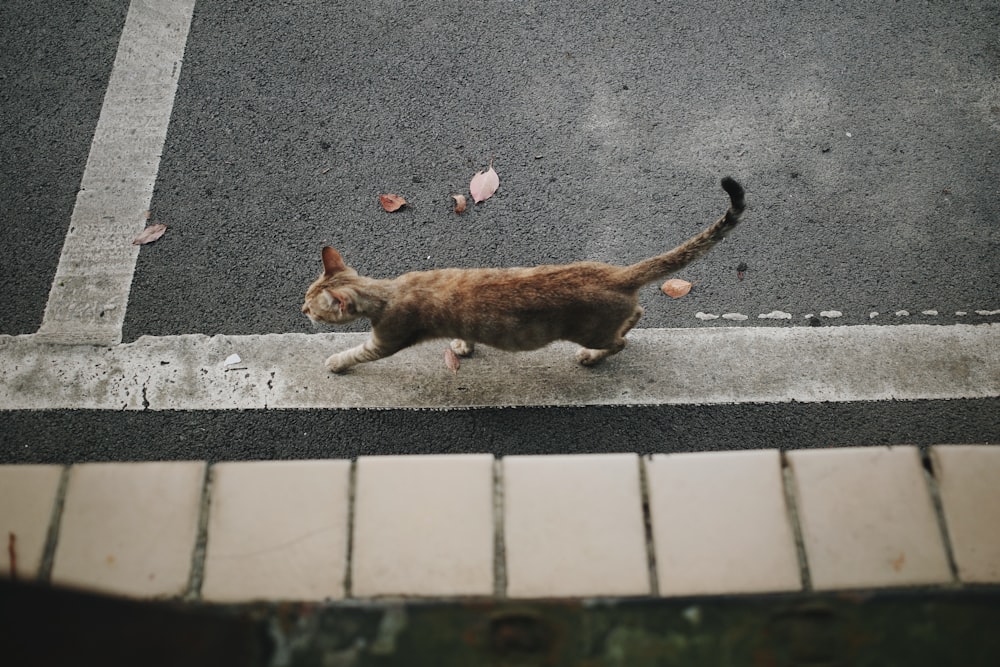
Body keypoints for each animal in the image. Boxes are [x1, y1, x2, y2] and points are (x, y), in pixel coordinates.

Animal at [302, 177, 744, 374]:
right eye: (306, 296)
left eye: (312, 307)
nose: (300, 309)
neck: (388, 289)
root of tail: (615, 273)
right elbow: (463, 334)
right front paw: (462, 347)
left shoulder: (386, 339)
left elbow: (358, 352)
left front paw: (336, 361)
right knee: (636, 315)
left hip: (593, 332)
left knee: (618, 341)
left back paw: (592, 357)